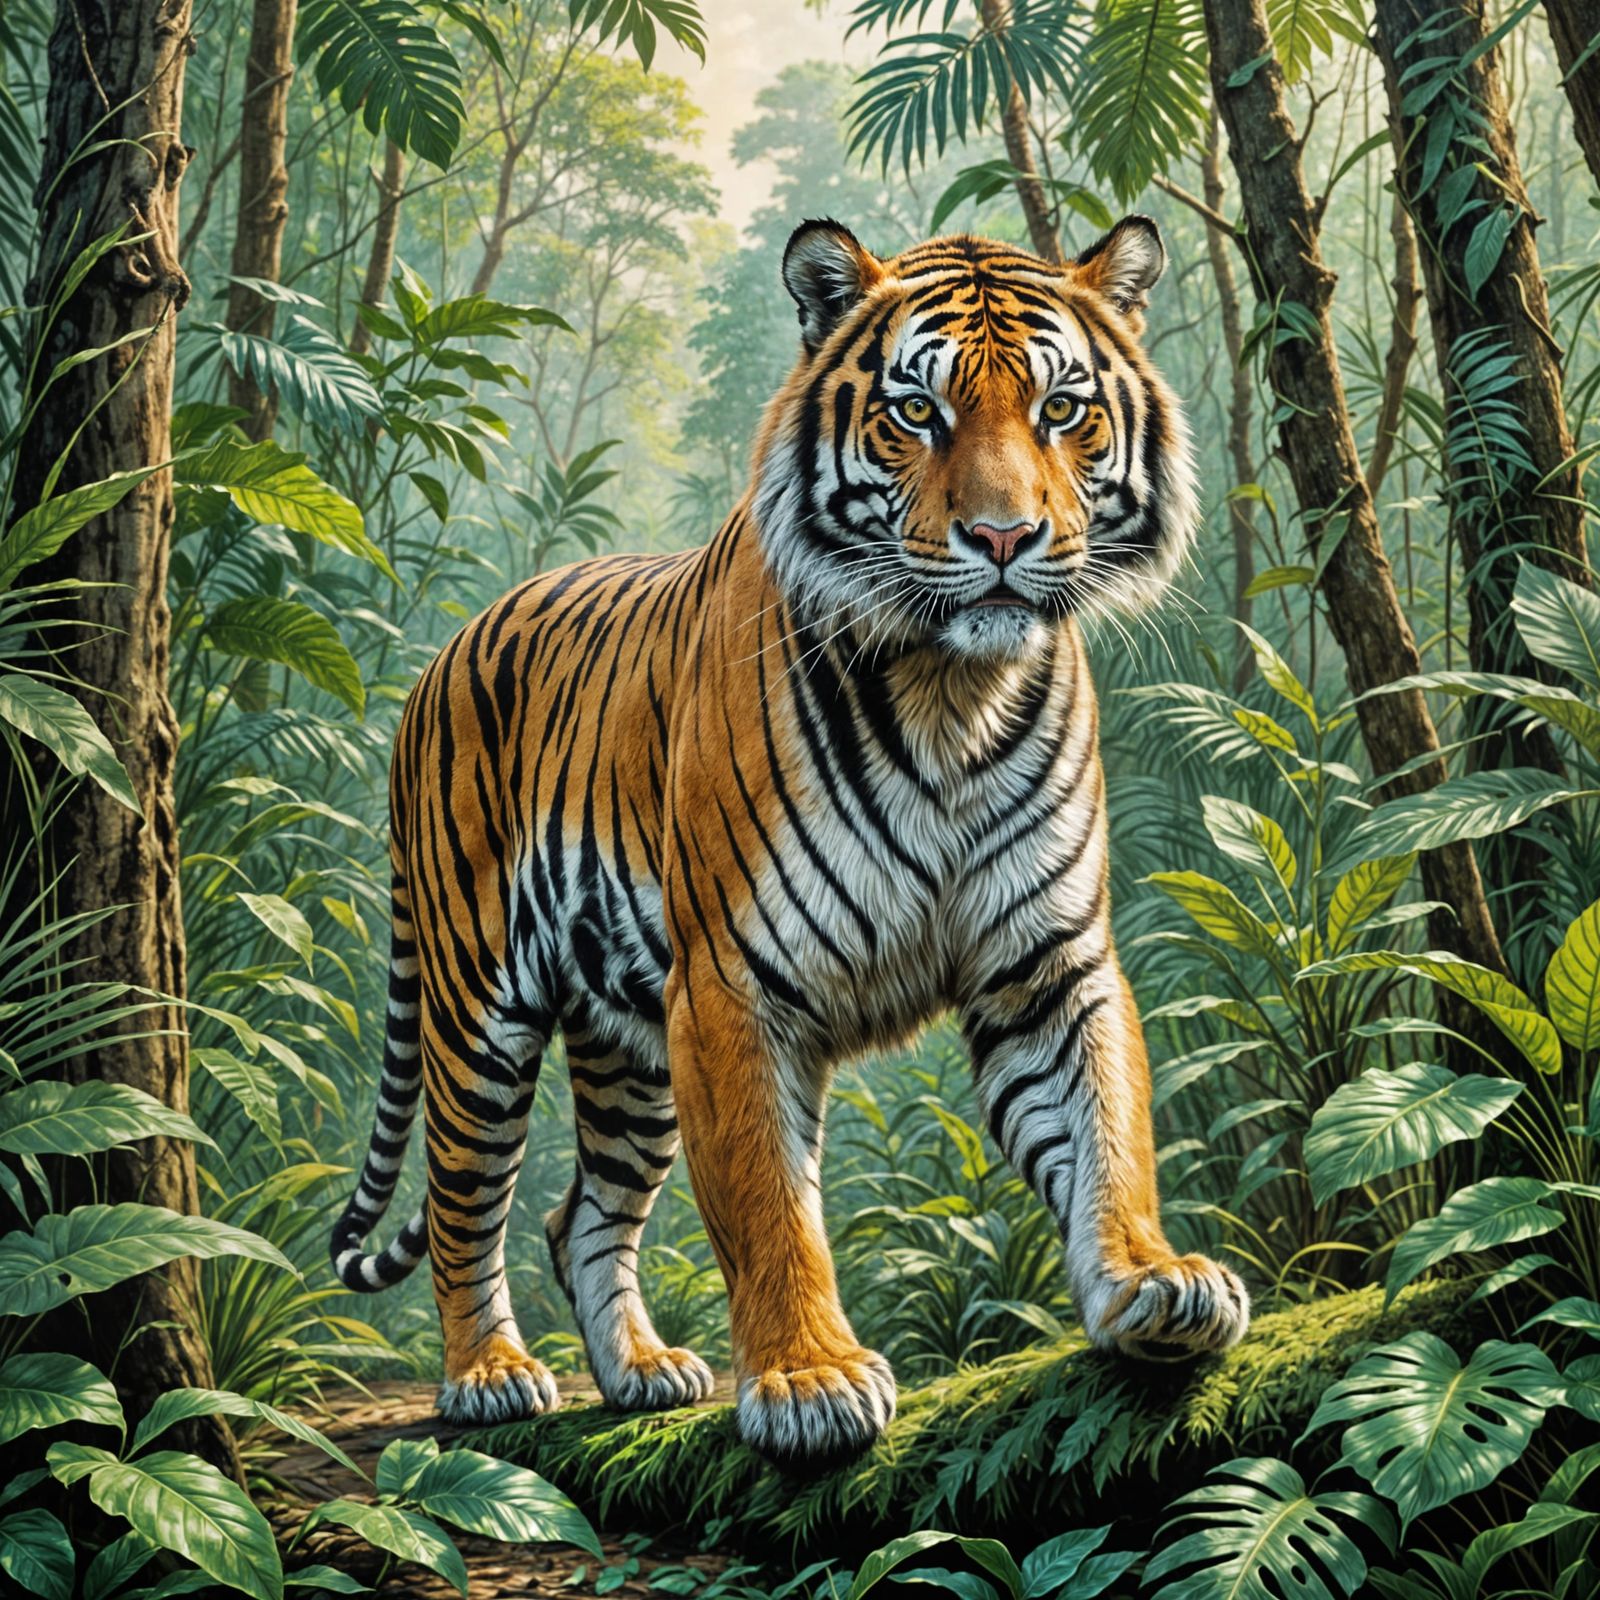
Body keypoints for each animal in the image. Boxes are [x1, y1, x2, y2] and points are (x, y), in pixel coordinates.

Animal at [330, 214, 1250, 1472]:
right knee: (464, 1198)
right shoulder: (733, 983)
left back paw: (641, 1372)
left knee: (582, 1213)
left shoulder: (1047, 963)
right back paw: (491, 1374)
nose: (1003, 535)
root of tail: (437, 661)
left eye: (1062, 408)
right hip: (480, 1008)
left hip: (627, 1048)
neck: (950, 691)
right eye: (917, 410)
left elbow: (1106, 1127)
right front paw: (809, 1378)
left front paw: (1151, 1284)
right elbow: (769, 1203)